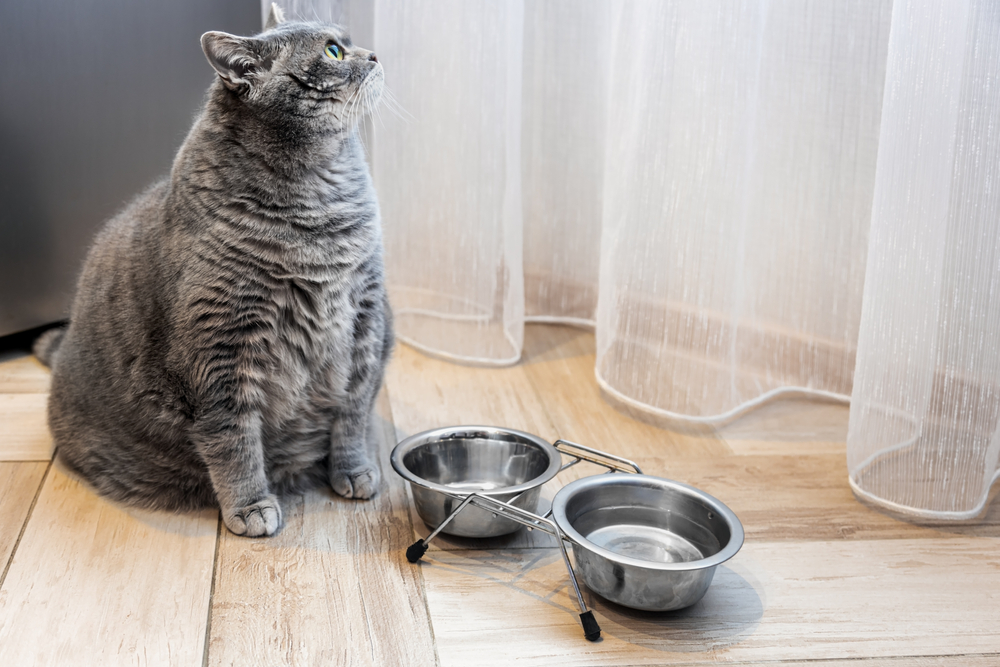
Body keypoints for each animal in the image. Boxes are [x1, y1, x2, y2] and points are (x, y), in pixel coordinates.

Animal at [32, 3, 390, 536]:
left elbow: (352, 413)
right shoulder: (219, 355)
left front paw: (354, 471)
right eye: (332, 51)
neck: (318, 218)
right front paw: (251, 509)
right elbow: (232, 441)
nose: (374, 54)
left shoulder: (364, 324)